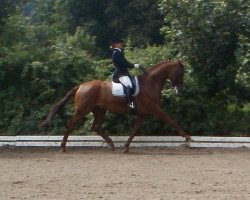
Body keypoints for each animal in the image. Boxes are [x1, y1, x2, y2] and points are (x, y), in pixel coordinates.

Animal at [38, 60, 191, 152]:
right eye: (180, 72)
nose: (180, 90)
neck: (150, 83)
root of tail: (80, 86)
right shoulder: (155, 110)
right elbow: (171, 120)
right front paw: (187, 137)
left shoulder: (142, 114)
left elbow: (135, 130)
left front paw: (126, 147)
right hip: (82, 110)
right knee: (71, 125)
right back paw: (63, 147)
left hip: (100, 110)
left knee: (96, 127)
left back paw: (111, 144)